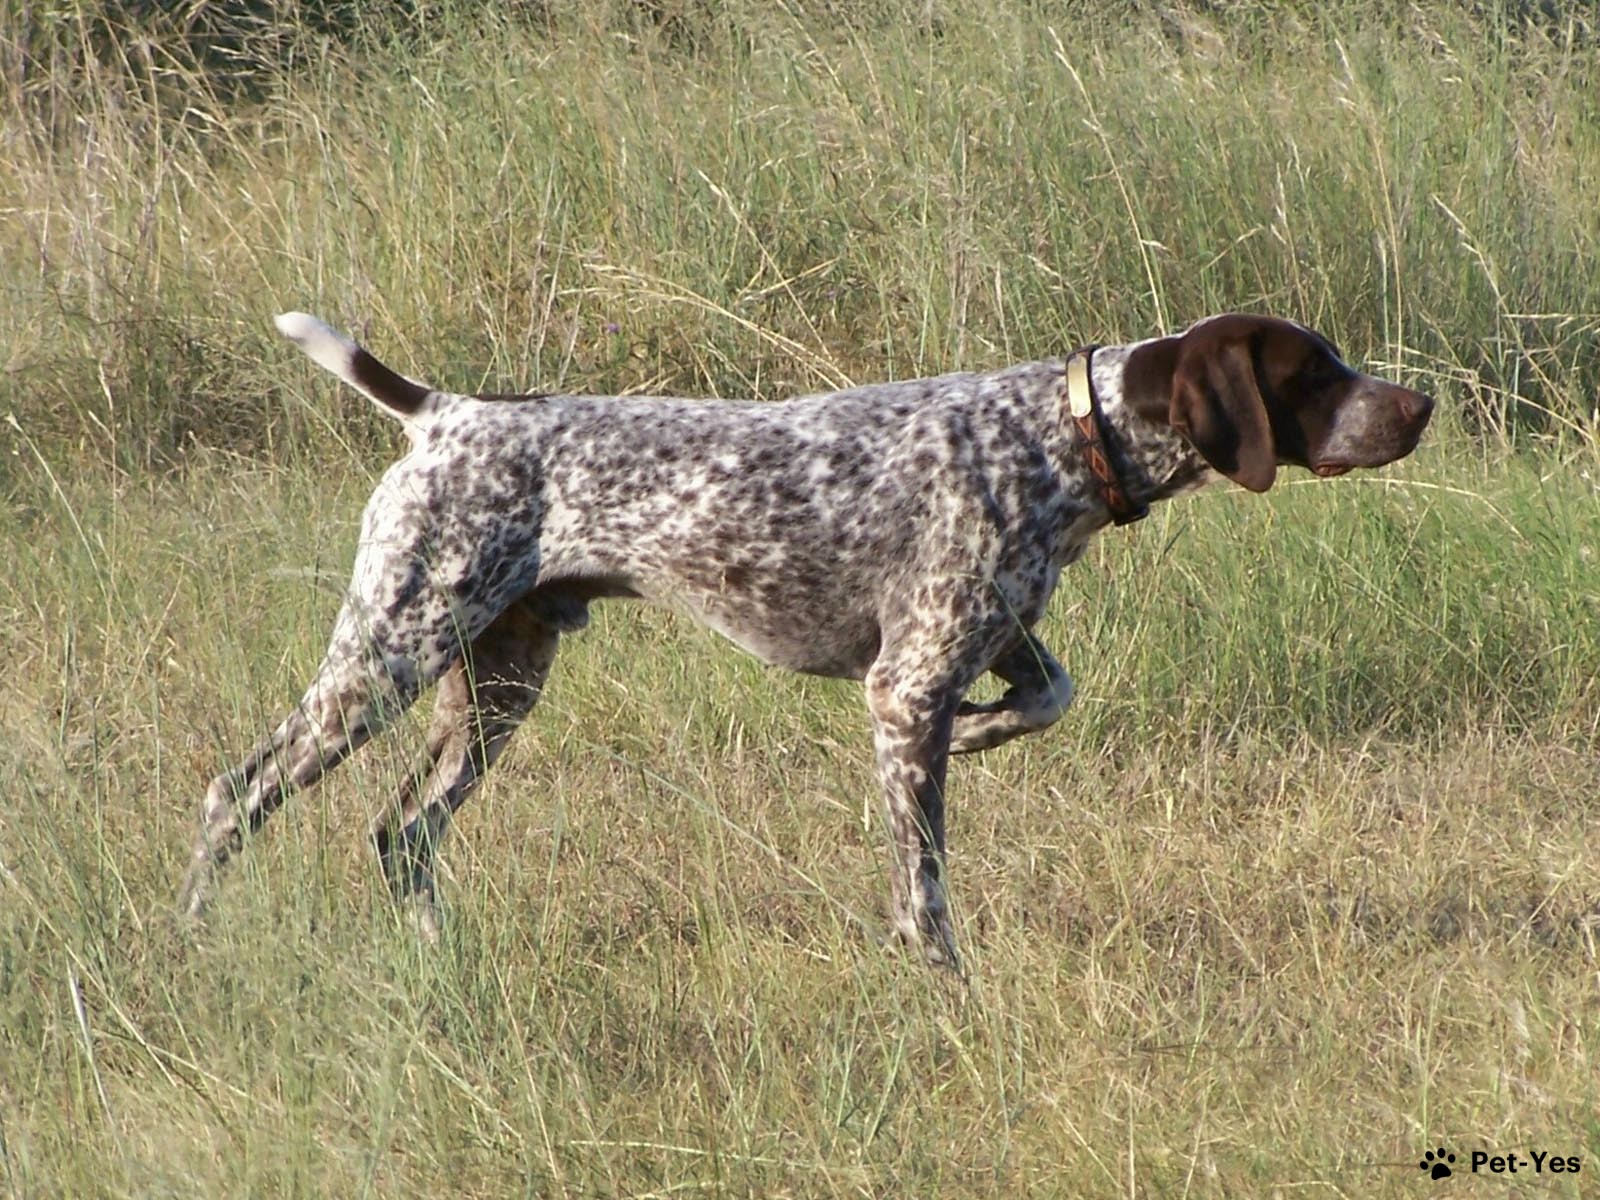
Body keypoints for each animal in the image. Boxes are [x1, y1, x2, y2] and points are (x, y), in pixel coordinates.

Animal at [181, 312, 1433, 966]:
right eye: (1314, 372)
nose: (1417, 406)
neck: (1060, 438)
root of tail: (443, 412)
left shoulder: (982, 642)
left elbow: (1049, 694)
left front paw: (982, 736)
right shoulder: (905, 685)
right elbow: (924, 886)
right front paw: (941, 982)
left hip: (494, 684)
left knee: (402, 833)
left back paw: (439, 953)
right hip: (387, 658)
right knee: (234, 794)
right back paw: (190, 940)